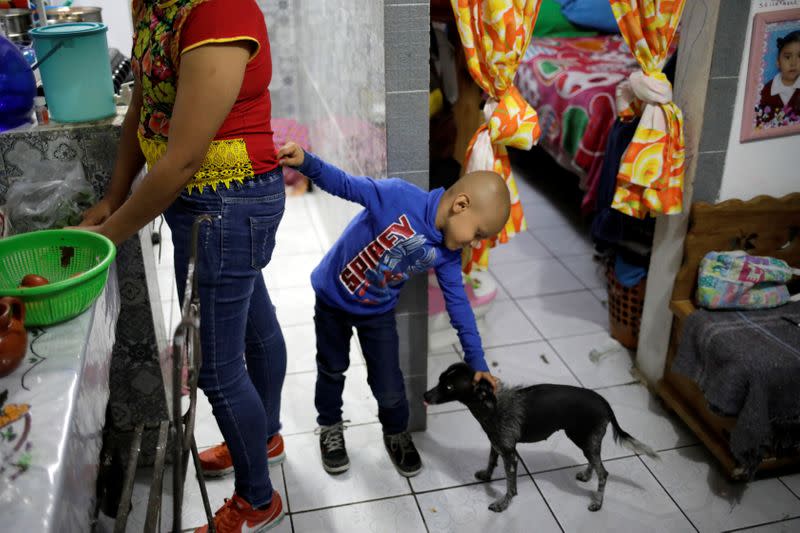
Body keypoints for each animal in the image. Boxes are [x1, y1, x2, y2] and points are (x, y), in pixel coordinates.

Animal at [422, 362, 660, 512]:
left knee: (604, 473)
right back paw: (586, 475)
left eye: (449, 386)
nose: (424, 395)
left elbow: (510, 486)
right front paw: (487, 475)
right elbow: (490, 461)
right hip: (586, 440)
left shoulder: (510, 454)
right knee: (595, 463)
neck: (490, 404)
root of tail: (604, 402)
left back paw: (598, 503)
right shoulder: (496, 443)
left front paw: (503, 504)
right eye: (440, 379)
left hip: (585, 439)